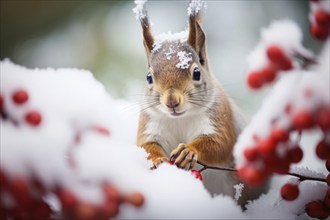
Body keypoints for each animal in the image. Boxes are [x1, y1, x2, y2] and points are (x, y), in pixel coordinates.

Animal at [134, 1, 266, 206]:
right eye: (149, 77)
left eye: (197, 73)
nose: (172, 101)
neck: (180, 119)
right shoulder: (149, 123)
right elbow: (145, 145)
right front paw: (156, 159)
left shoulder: (220, 117)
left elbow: (220, 143)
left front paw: (188, 150)